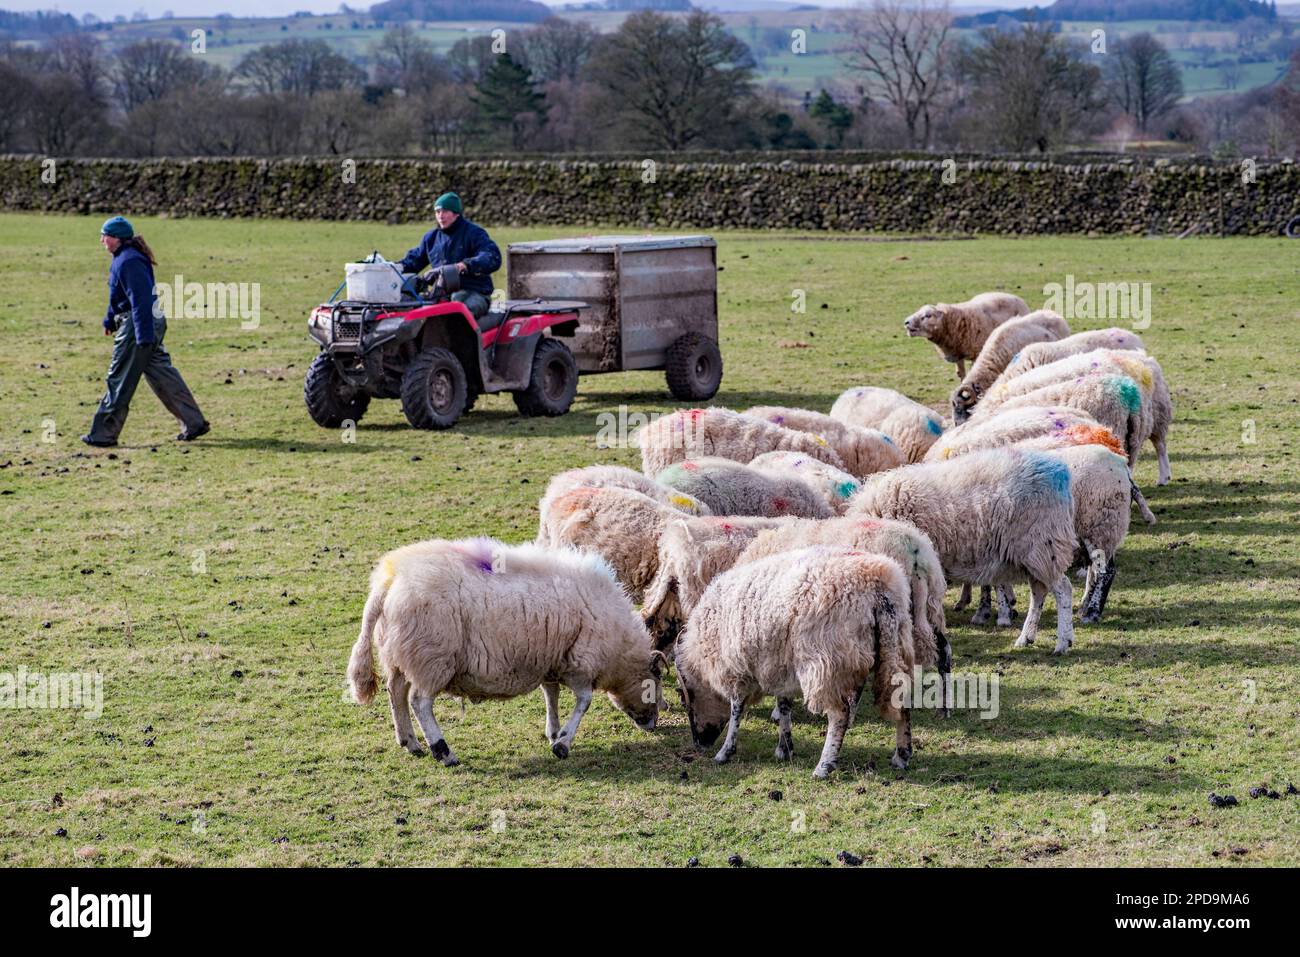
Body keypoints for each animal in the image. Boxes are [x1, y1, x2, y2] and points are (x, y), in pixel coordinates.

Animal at [347, 537, 664, 764]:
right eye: (656, 683)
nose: (653, 724)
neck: (620, 648)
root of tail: (389, 580)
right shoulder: (581, 662)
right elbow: (583, 701)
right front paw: (562, 744)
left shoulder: (551, 659)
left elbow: (551, 694)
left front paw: (553, 732)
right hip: (432, 656)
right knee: (419, 702)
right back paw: (443, 751)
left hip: (400, 652)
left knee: (396, 692)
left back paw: (410, 743)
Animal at [675, 546, 917, 777]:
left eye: (685, 699)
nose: (699, 744)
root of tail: (879, 587)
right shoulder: (779, 665)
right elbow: (784, 706)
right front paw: (785, 748)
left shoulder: (736, 669)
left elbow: (737, 709)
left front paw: (725, 752)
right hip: (893, 648)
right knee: (901, 700)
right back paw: (902, 756)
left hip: (828, 662)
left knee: (839, 715)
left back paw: (824, 766)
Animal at [848, 448, 1079, 654]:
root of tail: (1058, 472)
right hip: (1032, 555)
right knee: (1038, 593)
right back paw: (1026, 638)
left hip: (1043, 546)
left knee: (1063, 589)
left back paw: (1062, 643)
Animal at [902, 291, 1031, 379]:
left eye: (927, 315)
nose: (906, 322)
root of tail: (1015, 297)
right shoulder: (957, 354)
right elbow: (961, 374)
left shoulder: (977, 354)